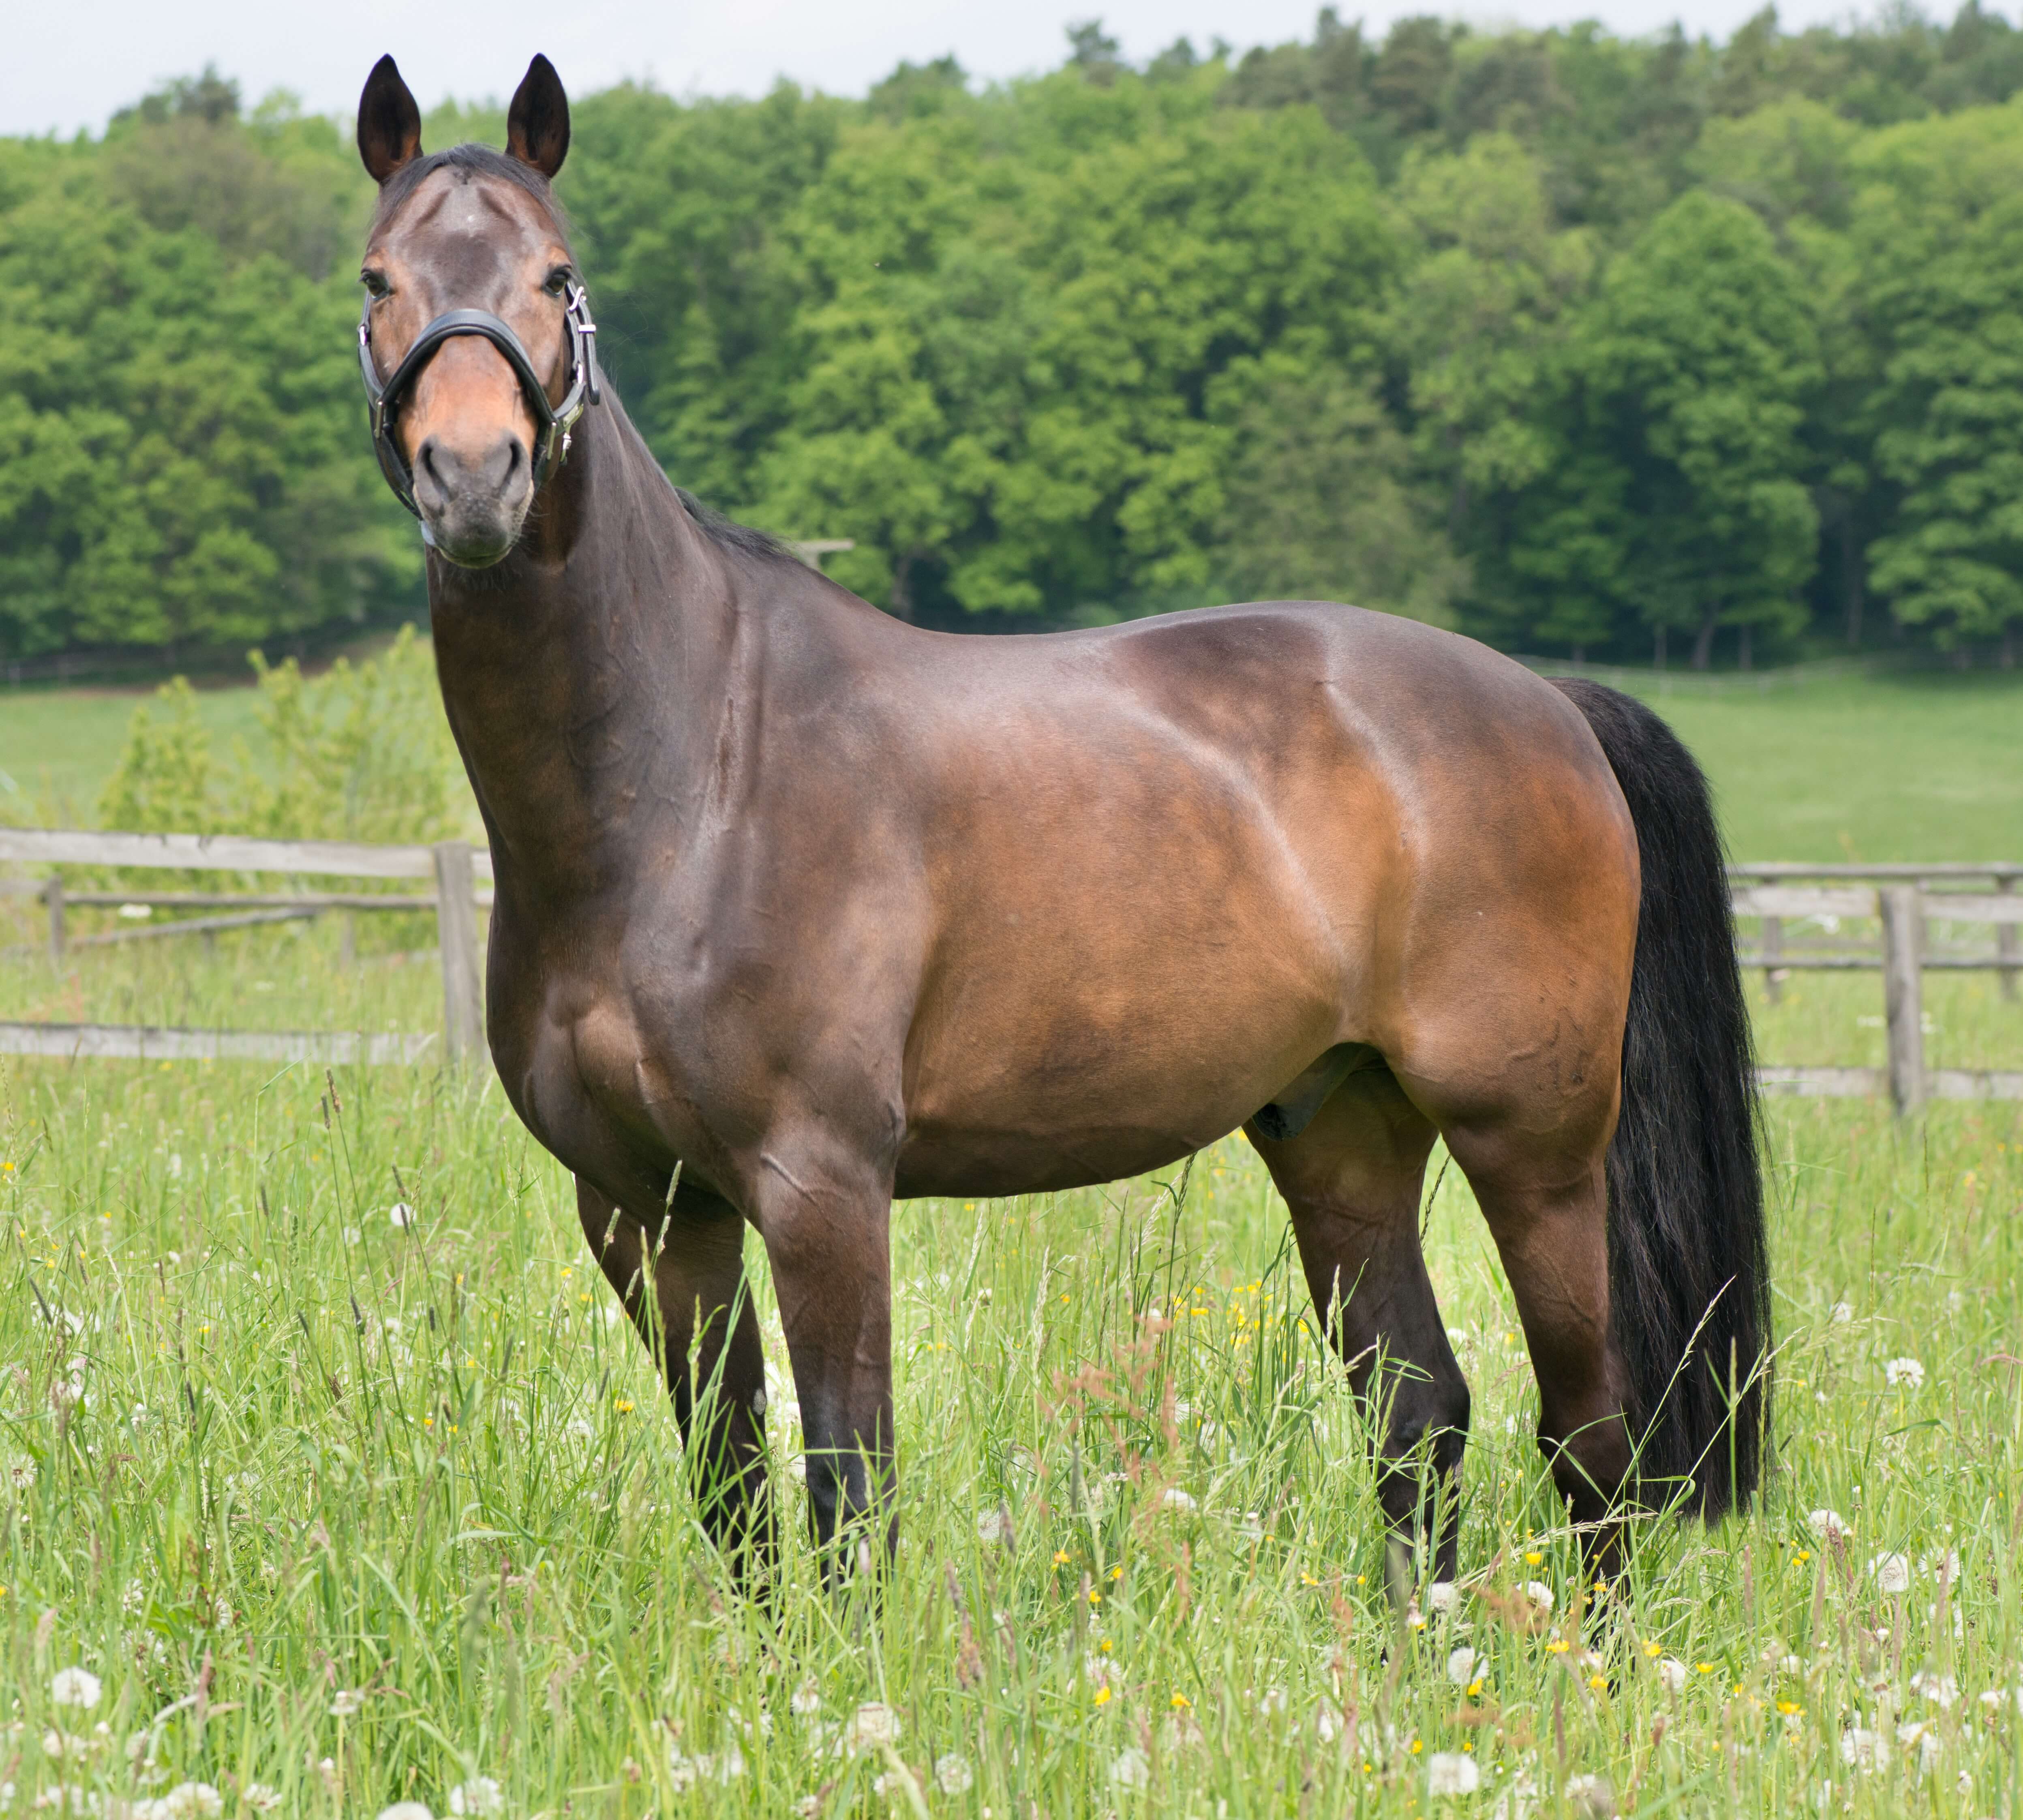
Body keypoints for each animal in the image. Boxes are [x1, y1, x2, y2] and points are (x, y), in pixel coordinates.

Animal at [351, 51, 1769, 1597]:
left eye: (556, 276)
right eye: (378, 279)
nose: (474, 475)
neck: (687, 780)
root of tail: (1548, 704)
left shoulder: (821, 1186)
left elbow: (848, 1491)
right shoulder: (644, 1209)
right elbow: (734, 1500)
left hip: (1534, 1143)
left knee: (1592, 1442)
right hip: (1342, 1134)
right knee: (1417, 1414)